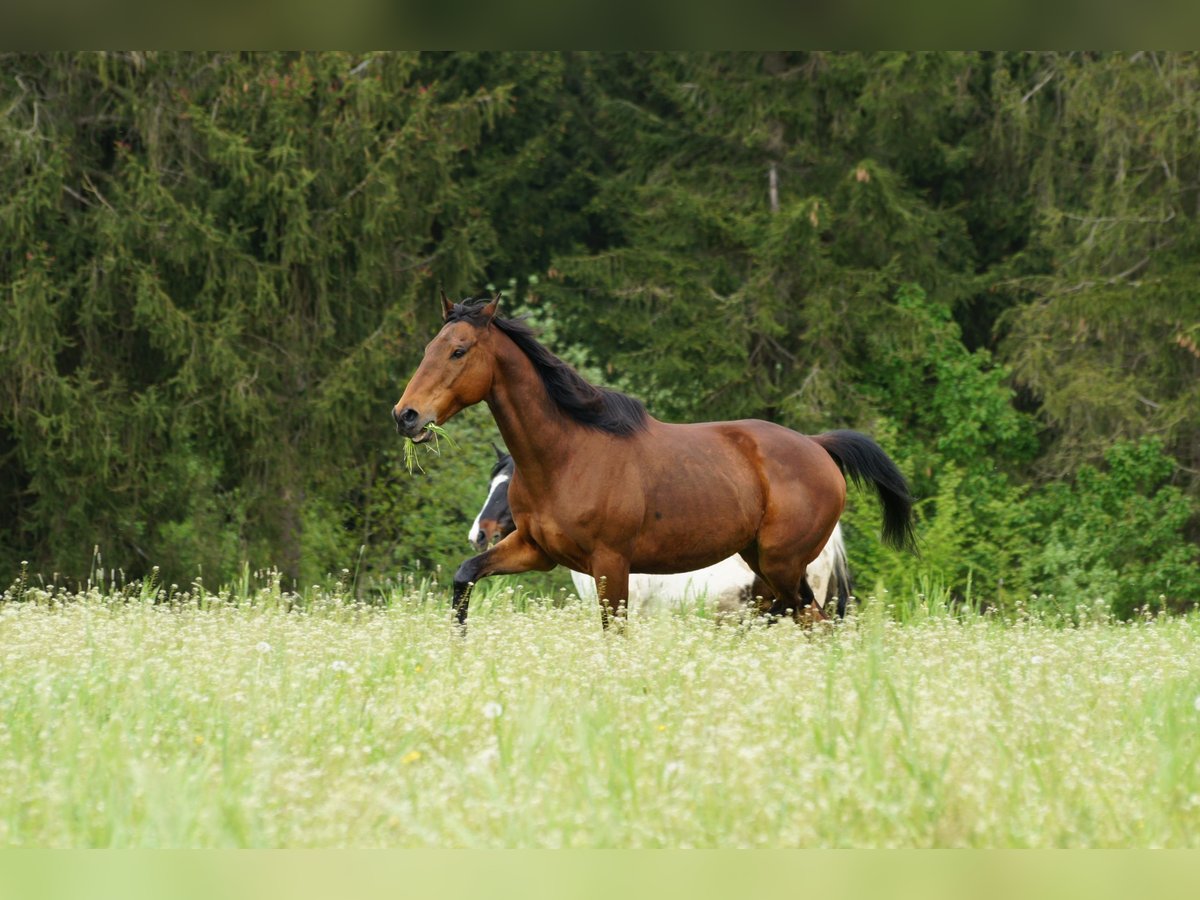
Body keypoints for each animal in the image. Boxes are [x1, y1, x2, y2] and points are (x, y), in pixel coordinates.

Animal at [388, 294, 912, 628]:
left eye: (459, 350)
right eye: (429, 348)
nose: (405, 416)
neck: (567, 456)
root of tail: (818, 446)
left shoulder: (611, 568)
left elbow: (614, 636)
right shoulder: (535, 550)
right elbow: (464, 577)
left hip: (783, 565)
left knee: (812, 622)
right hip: (763, 563)